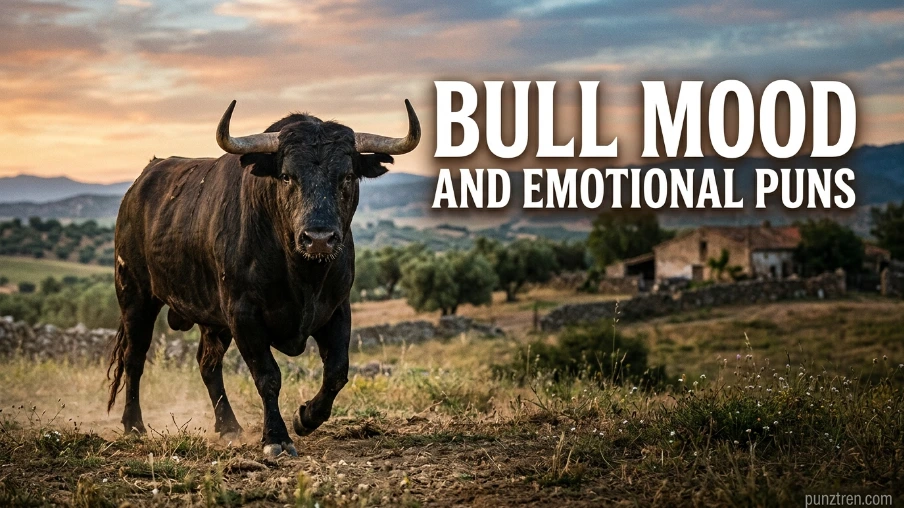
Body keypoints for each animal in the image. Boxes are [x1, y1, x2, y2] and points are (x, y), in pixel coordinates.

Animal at [107, 99, 420, 455]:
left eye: (348, 176)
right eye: (286, 176)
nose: (319, 238)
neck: (301, 275)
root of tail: (139, 185)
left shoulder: (338, 309)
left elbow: (336, 372)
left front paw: (306, 417)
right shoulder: (244, 315)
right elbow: (268, 375)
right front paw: (276, 437)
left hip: (211, 319)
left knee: (207, 364)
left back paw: (228, 426)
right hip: (135, 296)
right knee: (134, 358)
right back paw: (134, 426)